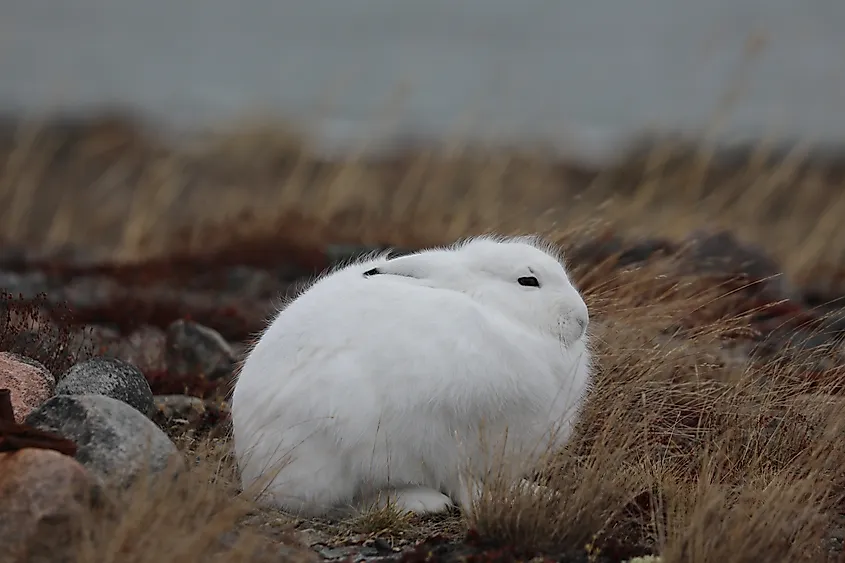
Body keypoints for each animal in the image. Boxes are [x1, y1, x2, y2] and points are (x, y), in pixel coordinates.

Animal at [230, 234, 592, 518]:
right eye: (528, 281)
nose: (582, 319)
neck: (498, 314)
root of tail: (253, 475)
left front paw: (533, 493)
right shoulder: (450, 436)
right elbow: (463, 481)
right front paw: (484, 503)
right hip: (336, 454)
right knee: (345, 503)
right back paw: (422, 502)